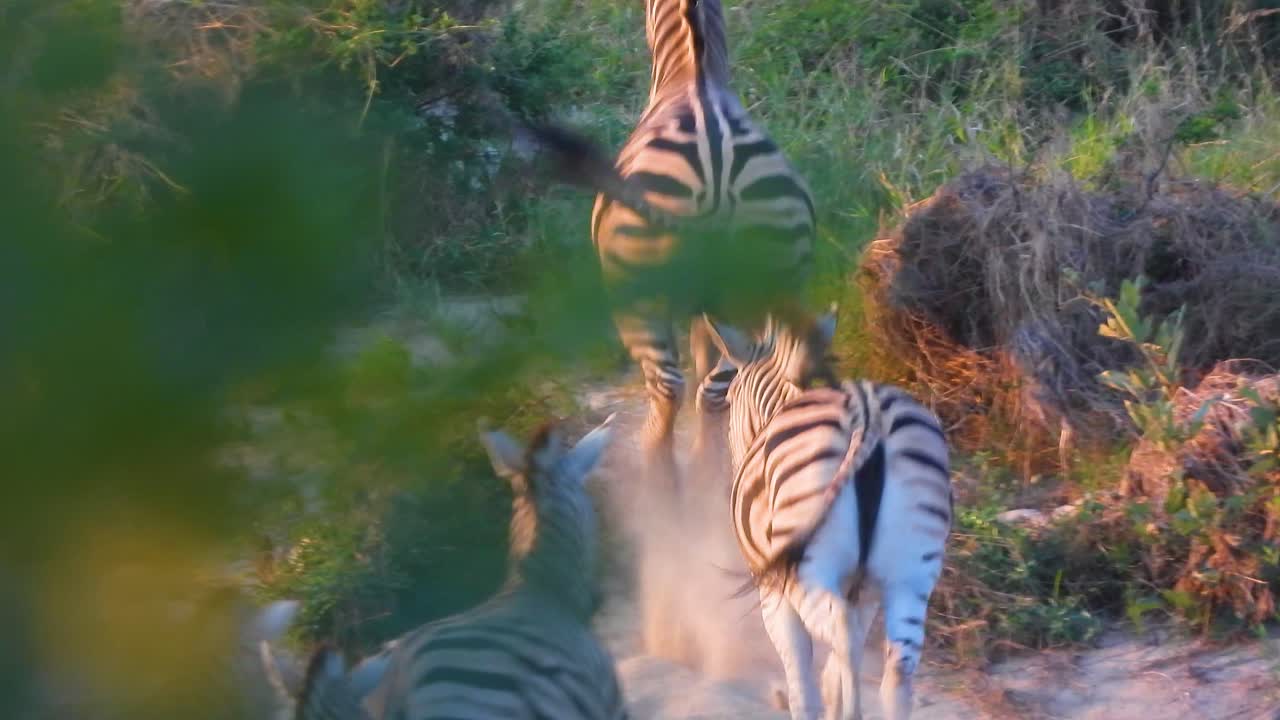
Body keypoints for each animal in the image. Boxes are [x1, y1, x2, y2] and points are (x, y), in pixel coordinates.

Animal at [525, 0, 817, 488]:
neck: (692, 73)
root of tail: (717, 166)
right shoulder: (712, 309)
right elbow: (707, 369)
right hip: (760, 289)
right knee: (722, 387)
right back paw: (710, 473)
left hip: (637, 297)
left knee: (670, 386)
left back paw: (661, 482)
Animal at [700, 307, 952, 720]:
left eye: (733, 395)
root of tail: (867, 416)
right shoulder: (865, 592)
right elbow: (834, 665)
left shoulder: (773, 596)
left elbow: (802, 681)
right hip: (912, 574)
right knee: (896, 673)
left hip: (809, 569)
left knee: (842, 632)